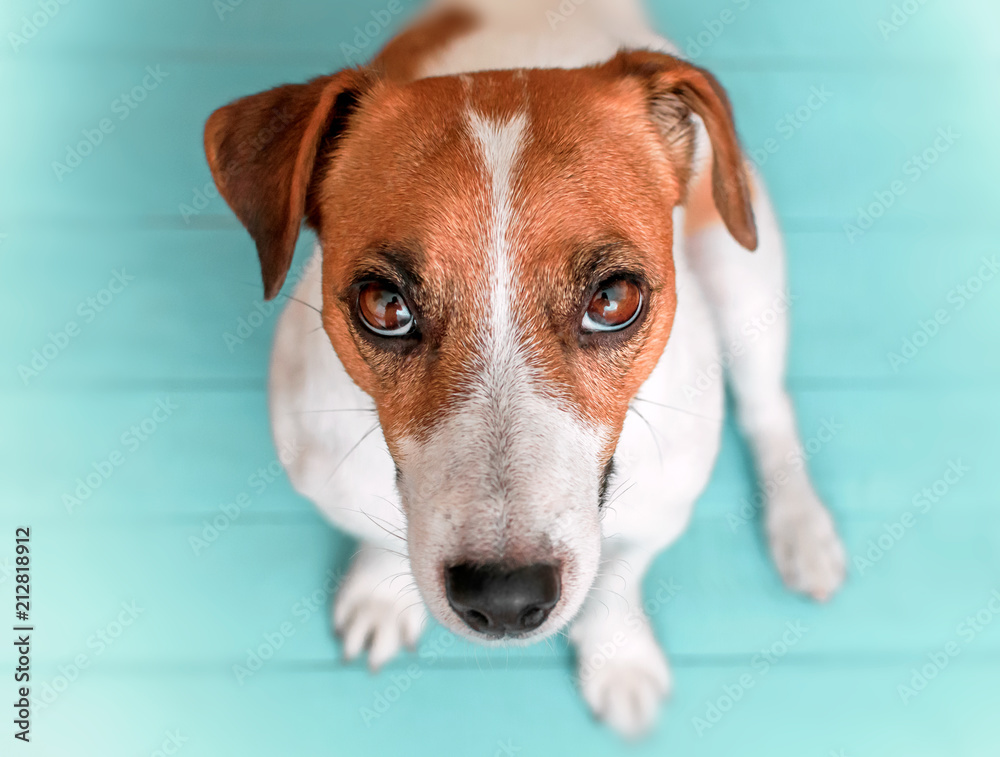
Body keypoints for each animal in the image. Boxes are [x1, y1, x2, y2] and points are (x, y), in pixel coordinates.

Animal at [203, 0, 844, 736]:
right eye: (384, 305)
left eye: (613, 299)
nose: (505, 598)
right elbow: (378, 534)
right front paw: (381, 592)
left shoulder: (661, 511)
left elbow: (618, 577)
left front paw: (618, 658)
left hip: (743, 271)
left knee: (769, 408)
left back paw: (802, 529)